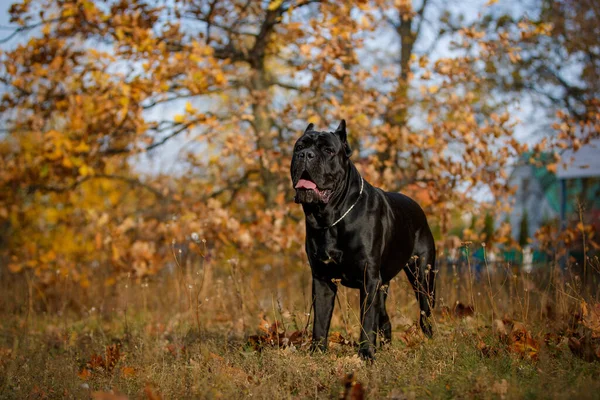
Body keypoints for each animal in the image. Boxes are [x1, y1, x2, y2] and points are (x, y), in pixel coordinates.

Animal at [290, 119, 436, 360]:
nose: (306, 155)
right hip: (383, 285)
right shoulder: (322, 279)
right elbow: (321, 321)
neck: (330, 217)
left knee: (426, 312)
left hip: (422, 276)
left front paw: (366, 355)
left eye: (328, 150)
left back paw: (430, 342)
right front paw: (317, 352)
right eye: (298, 147)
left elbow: (366, 321)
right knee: (384, 318)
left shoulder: (369, 279)